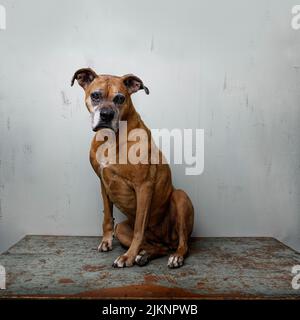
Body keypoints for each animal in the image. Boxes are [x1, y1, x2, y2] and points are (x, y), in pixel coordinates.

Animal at [72, 68, 195, 268]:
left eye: (120, 98)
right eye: (95, 95)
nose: (106, 115)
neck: (111, 139)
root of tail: (166, 240)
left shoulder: (144, 186)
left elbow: (139, 227)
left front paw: (127, 257)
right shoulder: (103, 184)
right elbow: (107, 216)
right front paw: (106, 241)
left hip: (180, 198)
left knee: (183, 244)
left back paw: (174, 256)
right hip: (122, 228)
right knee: (157, 247)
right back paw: (144, 255)